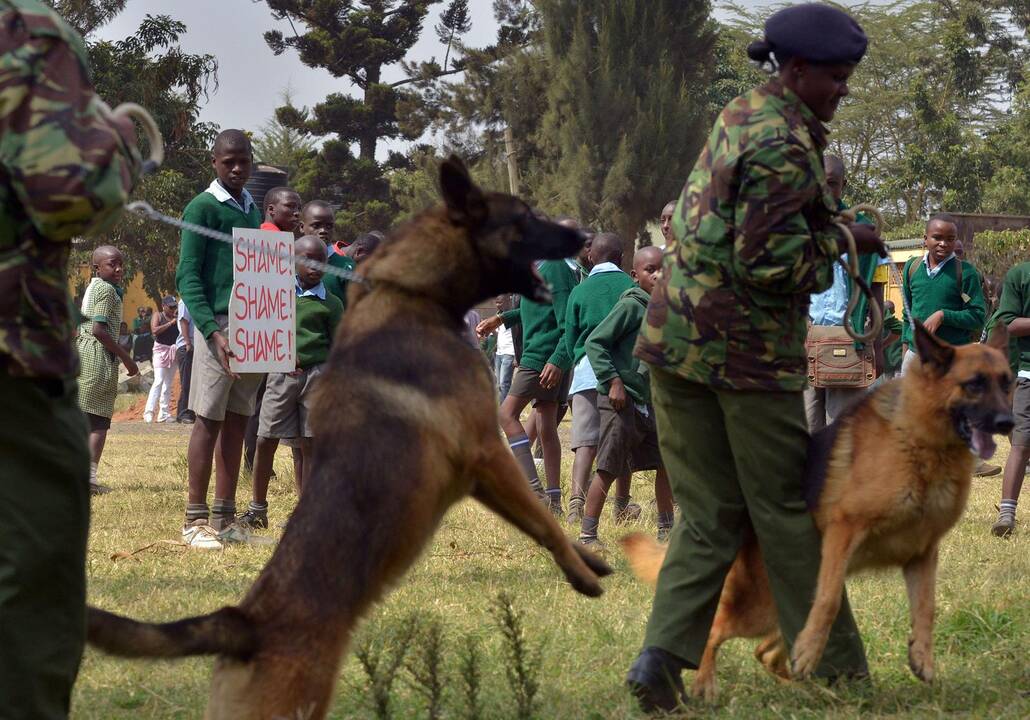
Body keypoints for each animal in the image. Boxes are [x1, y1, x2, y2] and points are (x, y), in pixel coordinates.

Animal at [86, 158, 609, 720]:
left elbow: (535, 523)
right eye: (526, 217)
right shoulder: (487, 451)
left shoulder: (479, 474)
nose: (583, 237)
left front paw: (587, 559)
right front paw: (582, 568)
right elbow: (544, 522)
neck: (410, 292)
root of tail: (243, 623)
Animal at [618, 323, 1013, 704]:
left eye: (1007, 382)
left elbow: (926, 608)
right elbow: (829, 600)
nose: (1008, 423)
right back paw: (707, 683)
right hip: (758, 607)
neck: (920, 440)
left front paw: (922, 658)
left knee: (766, 652)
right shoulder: (844, 531)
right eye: (974, 385)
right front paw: (811, 649)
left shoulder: (922, 554)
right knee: (715, 630)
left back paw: (810, 687)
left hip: (774, 611)